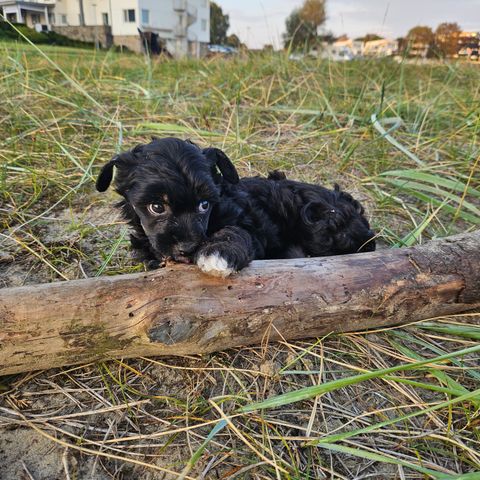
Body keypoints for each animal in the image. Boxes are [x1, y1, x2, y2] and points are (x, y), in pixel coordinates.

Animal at [96, 137, 376, 276]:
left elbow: (234, 233)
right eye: (156, 207)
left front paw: (219, 252)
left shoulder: (250, 226)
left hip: (319, 219)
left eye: (204, 205)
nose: (188, 248)